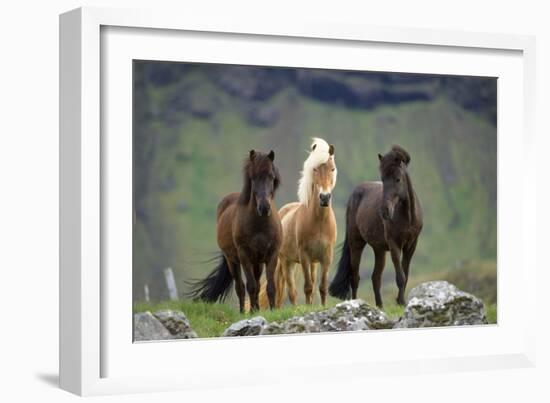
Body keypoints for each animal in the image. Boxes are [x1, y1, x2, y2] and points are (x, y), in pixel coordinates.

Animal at [190, 151, 284, 312]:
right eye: (253, 177)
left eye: (271, 176)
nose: (264, 208)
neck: (260, 226)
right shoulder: (244, 255)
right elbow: (250, 286)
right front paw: (250, 312)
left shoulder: (272, 254)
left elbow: (270, 287)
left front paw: (272, 311)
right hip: (233, 261)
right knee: (240, 287)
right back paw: (243, 311)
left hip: (257, 263)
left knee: (257, 284)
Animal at [260, 139, 338, 310]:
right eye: (315, 169)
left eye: (332, 169)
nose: (324, 197)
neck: (319, 222)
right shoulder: (304, 256)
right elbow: (307, 288)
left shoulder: (326, 257)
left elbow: (322, 287)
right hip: (286, 262)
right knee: (291, 292)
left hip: (313, 264)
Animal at [330, 145, 424, 306]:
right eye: (383, 179)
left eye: (398, 179)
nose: (384, 211)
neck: (407, 216)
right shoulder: (394, 245)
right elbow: (400, 277)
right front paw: (400, 302)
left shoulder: (411, 245)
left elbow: (405, 275)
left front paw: (401, 301)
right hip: (356, 243)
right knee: (355, 277)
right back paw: (355, 303)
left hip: (379, 250)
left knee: (375, 278)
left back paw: (380, 306)